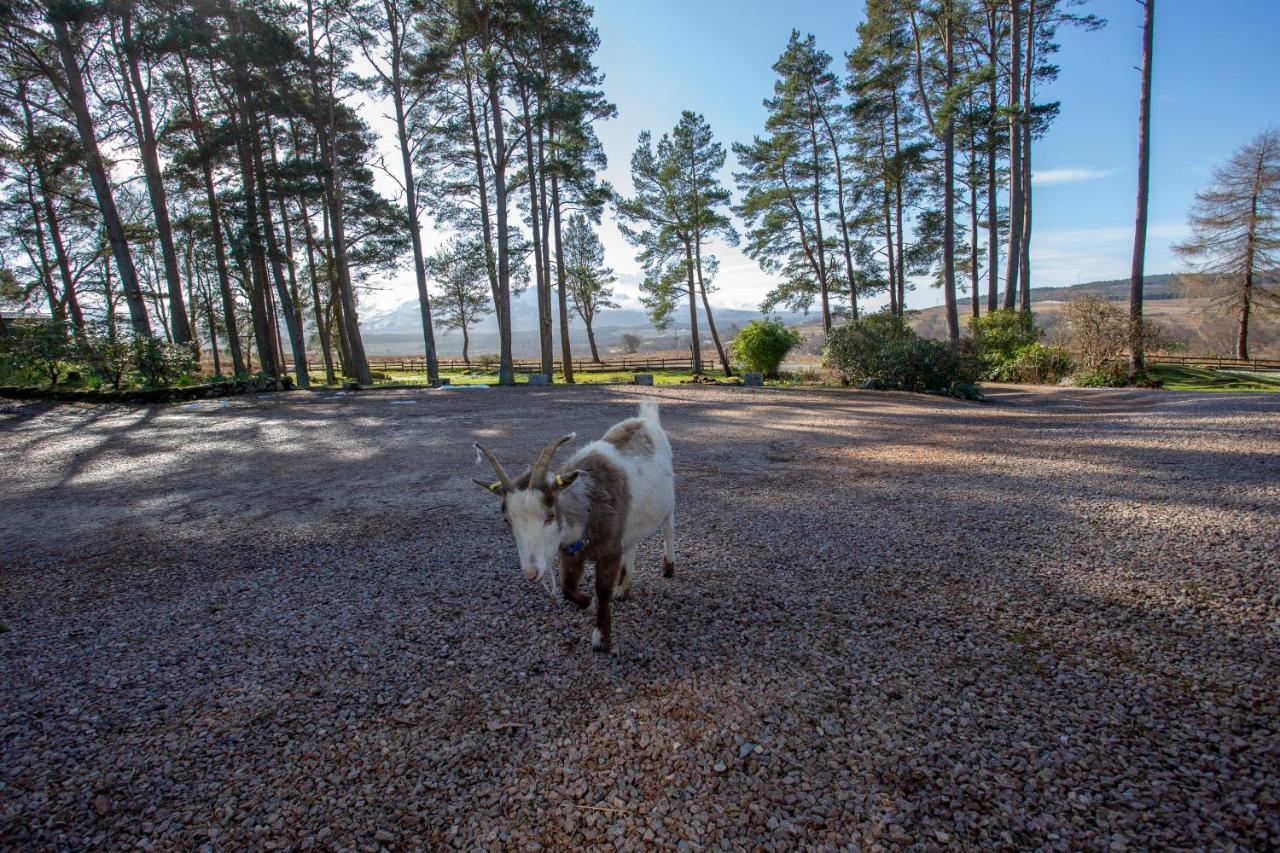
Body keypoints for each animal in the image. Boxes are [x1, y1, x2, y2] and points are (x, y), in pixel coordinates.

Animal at [473, 399, 680, 650]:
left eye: (550, 514)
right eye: (507, 520)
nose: (531, 573)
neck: (588, 505)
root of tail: (645, 419)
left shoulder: (609, 550)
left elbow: (602, 590)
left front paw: (602, 637)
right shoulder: (570, 552)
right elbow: (567, 587)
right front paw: (589, 604)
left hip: (668, 503)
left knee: (668, 529)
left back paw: (668, 567)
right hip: (630, 524)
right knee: (632, 544)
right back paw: (623, 587)